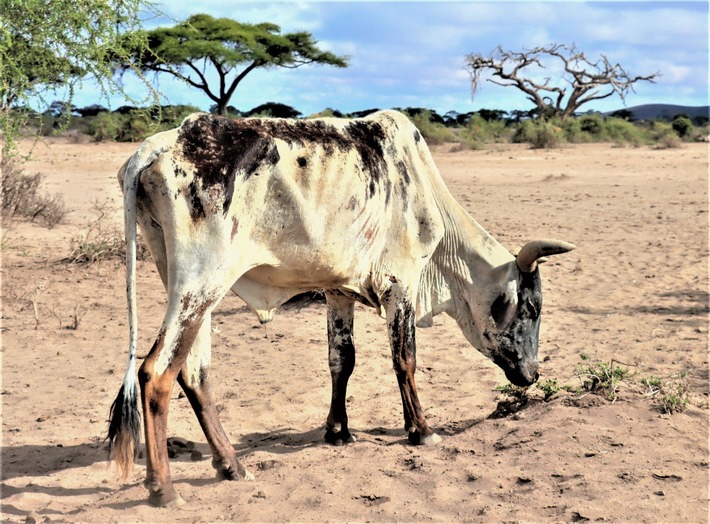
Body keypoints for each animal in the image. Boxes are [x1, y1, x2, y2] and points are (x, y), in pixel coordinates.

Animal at [108, 110, 580, 508]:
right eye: (532, 308)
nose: (532, 374)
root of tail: (163, 143)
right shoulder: (400, 285)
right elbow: (405, 360)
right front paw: (421, 431)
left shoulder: (339, 293)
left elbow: (342, 361)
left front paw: (338, 431)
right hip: (201, 282)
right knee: (155, 372)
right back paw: (164, 489)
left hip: (186, 283)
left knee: (194, 372)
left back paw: (232, 466)